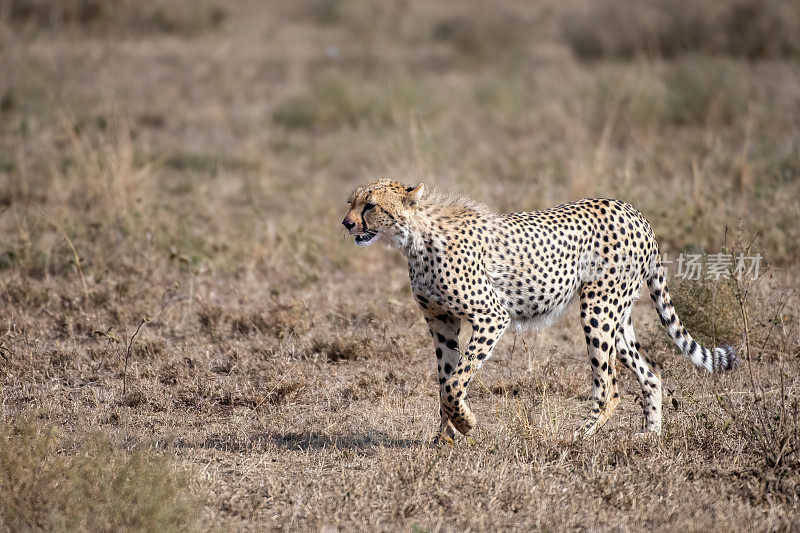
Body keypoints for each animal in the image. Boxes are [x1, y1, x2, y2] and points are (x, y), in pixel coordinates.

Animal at [342, 179, 736, 440]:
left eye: (370, 205)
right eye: (351, 202)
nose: (346, 223)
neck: (415, 238)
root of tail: (632, 210)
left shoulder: (491, 316)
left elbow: (455, 382)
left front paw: (465, 425)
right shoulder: (441, 321)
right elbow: (445, 380)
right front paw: (444, 439)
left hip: (597, 309)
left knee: (609, 386)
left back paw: (577, 437)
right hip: (617, 315)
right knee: (651, 371)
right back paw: (649, 438)